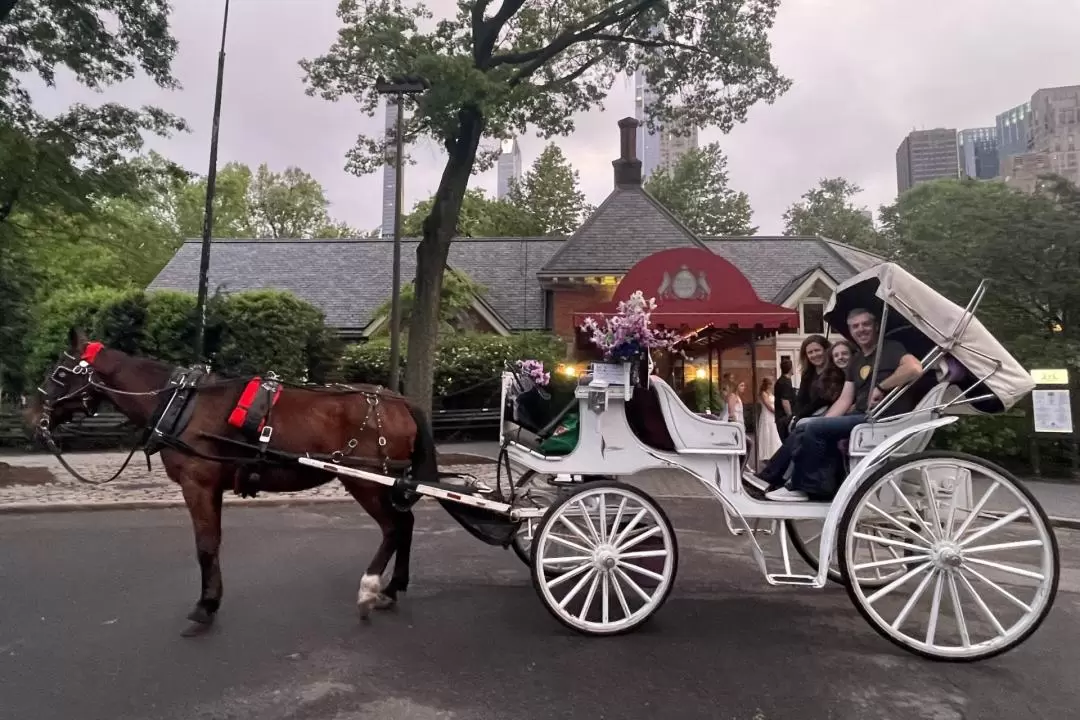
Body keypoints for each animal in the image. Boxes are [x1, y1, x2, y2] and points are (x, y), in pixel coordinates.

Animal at [30, 328, 434, 634]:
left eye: (60, 373)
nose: (30, 416)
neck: (182, 406)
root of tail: (399, 400)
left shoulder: (197, 484)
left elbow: (205, 546)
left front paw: (204, 607)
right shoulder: (212, 487)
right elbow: (214, 543)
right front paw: (212, 600)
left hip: (367, 482)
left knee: (393, 528)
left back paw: (369, 590)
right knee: (406, 523)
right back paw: (393, 588)